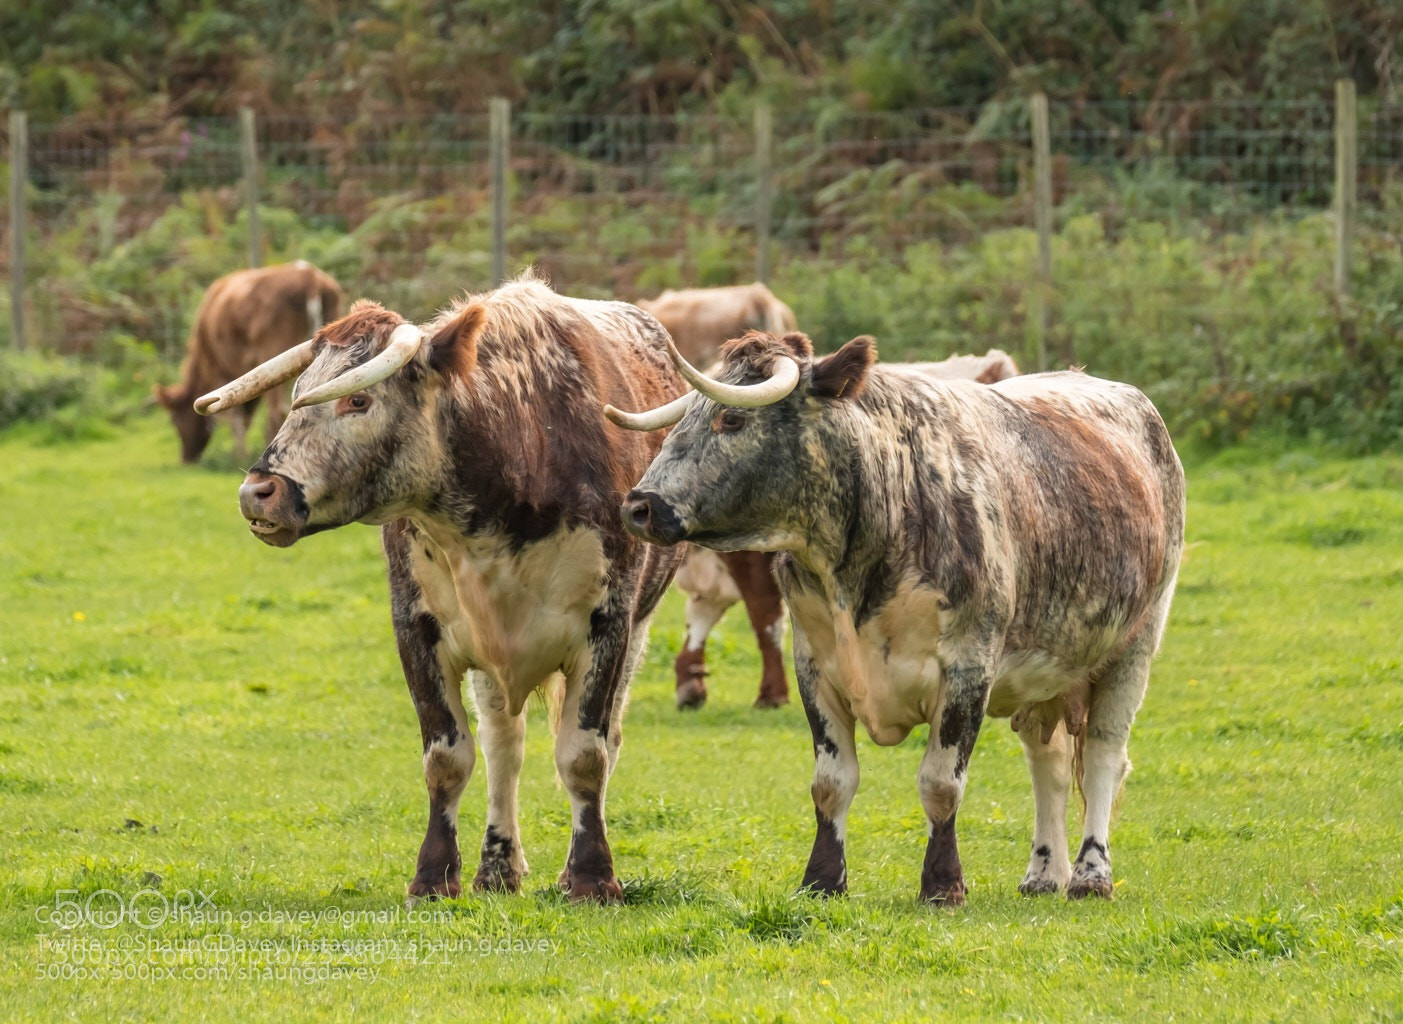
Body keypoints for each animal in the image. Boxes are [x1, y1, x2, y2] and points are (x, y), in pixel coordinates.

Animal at [156, 261, 342, 464]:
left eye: (174, 420)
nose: (186, 459)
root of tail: (310, 277)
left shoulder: (221, 371)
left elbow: (236, 416)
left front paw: (240, 457)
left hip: (274, 350)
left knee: (277, 410)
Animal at [193, 274, 687, 903]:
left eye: (358, 399)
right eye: (301, 389)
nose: (258, 492)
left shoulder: (610, 626)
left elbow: (584, 755)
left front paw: (593, 878)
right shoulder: (417, 629)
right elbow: (448, 758)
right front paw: (433, 876)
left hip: (637, 630)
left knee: (599, 740)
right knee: (504, 746)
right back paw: (498, 868)